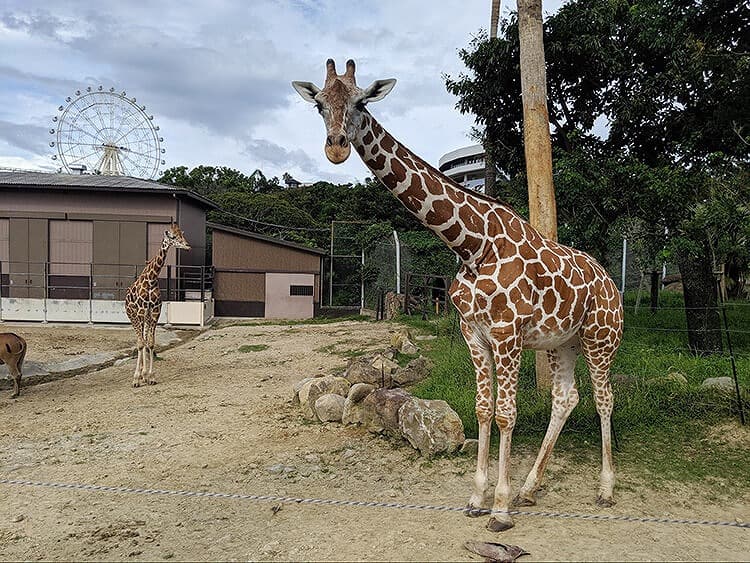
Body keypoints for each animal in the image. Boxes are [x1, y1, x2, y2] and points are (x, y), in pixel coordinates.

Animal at [124, 224, 189, 388]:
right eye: (173, 236)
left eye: (182, 235)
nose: (187, 246)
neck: (151, 279)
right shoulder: (141, 311)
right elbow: (141, 344)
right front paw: (137, 378)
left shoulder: (155, 311)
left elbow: (151, 343)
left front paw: (150, 376)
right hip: (133, 316)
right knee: (139, 341)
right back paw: (139, 376)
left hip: (146, 318)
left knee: (144, 339)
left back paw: (143, 374)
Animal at [292, 59, 624, 532]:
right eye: (320, 104)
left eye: (361, 102)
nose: (336, 148)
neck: (471, 245)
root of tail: (609, 280)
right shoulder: (475, 333)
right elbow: (483, 409)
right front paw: (478, 497)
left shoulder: (506, 333)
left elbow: (505, 412)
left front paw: (499, 509)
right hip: (563, 341)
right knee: (566, 398)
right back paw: (530, 488)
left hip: (601, 338)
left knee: (603, 398)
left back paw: (605, 489)